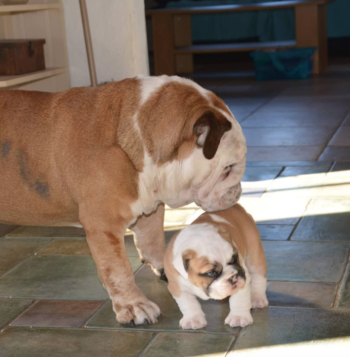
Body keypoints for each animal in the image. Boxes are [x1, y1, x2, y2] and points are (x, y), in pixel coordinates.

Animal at [0, 75, 246, 326]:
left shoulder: (150, 208)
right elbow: (117, 270)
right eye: (228, 169)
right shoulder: (104, 226)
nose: (238, 191)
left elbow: (152, 240)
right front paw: (134, 306)